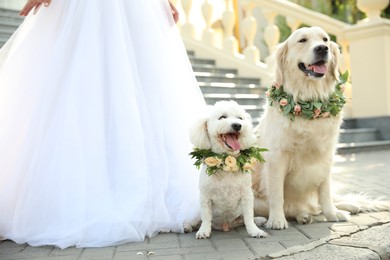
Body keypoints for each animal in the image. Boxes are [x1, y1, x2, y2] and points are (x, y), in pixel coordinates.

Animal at [189, 100, 268, 239]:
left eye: (240, 118)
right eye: (222, 117)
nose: (237, 125)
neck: (227, 164)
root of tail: (225, 226)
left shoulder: (247, 195)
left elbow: (249, 217)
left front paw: (255, 231)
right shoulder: (205, 196)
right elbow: (206, 217)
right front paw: (204, 231)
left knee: (244, 219)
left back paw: (259, 220)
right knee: (198, 219)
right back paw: (188, 226)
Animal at [253, 26, 350, 230]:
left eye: (325, 39)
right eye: (302, 40)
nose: (322, 49)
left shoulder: (326, 155)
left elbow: (325, 191)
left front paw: (332, 213)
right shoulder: (276, 157)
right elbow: (277, 194)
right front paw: (277, 220)